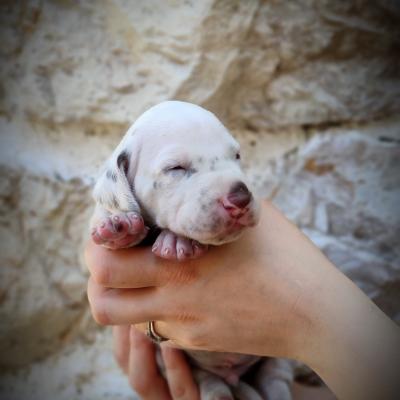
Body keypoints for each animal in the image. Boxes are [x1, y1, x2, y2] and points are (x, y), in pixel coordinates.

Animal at [92, 102, 296, 400]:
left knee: (276, 374)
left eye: (236, 155)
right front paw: (119, 228)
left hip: (276, 358)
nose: (240, 197)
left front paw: (178, 241)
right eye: (175, 168)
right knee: (210, 382)